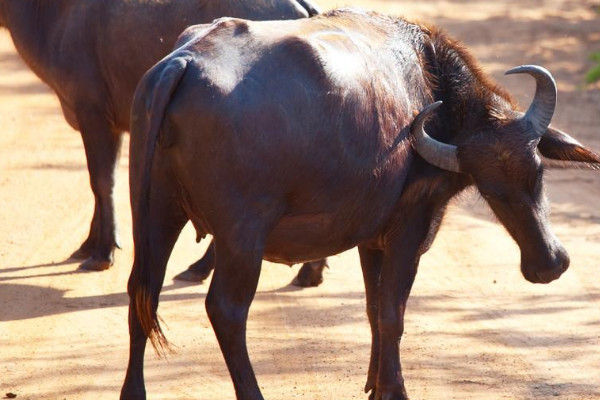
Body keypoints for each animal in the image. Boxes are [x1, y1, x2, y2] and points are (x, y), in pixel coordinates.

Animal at [0, 0, 326, 284]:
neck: (55, 13)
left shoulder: (94, 115)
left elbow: (102, 182)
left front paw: (102, 253)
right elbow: (100, 185)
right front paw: (89, 244)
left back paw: (200, 267)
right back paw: (310, 272)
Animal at [120, 7, 600, 400]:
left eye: (537, 173)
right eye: (492, 190)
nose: (549, 265)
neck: (429, 85)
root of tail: (184, 61)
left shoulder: (372, 237)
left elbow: (372, 309)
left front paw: (373, 382)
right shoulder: (409, 227)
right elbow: (393, 312)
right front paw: (392, 390)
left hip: (155, 214)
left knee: (141, 292)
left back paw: (133, 392)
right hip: (241, 237)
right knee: (225, 311)